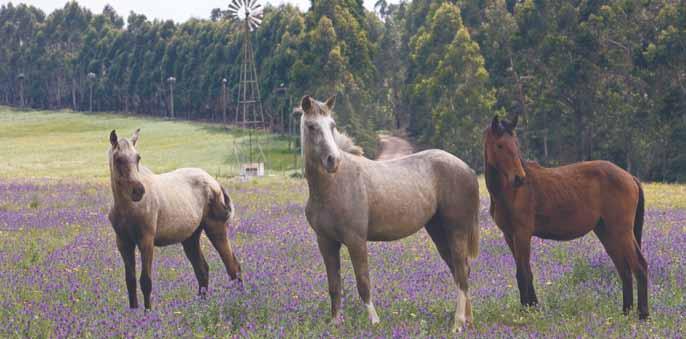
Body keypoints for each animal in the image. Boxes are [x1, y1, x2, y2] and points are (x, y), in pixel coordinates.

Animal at [109, 129, 243, 310]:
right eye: (118, 159)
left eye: (138, 157)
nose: (138, 190)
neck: (128, 208)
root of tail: (215, 183)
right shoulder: (124, 243)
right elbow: (130, 281)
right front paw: (133, 313)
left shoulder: (146, 241)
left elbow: (145, 281)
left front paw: (147, 313)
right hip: (190, 238)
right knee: (202, 270)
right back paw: (201, 308)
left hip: (216, 229)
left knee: (233, 267)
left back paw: (239, 302)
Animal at [486, 115, 648, 320]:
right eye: (500, 145)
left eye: (516, 144)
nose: (519, 178)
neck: (510, 192)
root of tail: (629, 177)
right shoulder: (509, 235)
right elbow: (523, 271)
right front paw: (530, 307)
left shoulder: (522, 233)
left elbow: (524, 273)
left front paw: (528, 310)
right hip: (607, 232)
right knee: (624, 270)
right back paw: (625, 312)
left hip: (622, 231)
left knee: (639, 267)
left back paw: (643, 314)